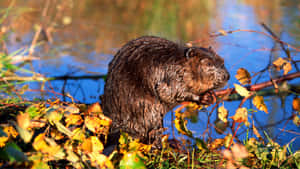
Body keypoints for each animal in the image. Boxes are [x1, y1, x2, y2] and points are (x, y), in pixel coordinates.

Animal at [101, 36, 230, 145]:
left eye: (222, 60)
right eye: (208, 63)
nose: (227, 76)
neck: (180, 63)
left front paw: (212, 96)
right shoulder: (173, 76)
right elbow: (169, 92)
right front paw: (204, 98)